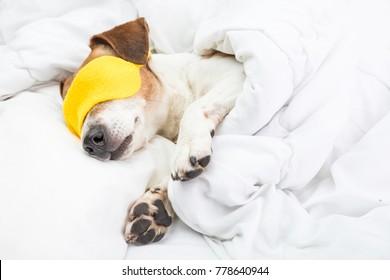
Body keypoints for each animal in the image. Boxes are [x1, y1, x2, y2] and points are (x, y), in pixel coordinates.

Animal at [59, 18, 244, 245]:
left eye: (102, 84)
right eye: (76, 122)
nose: (89, 143)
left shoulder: (236, 74)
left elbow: (194, 109)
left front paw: (188, 146)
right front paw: (158, 202)